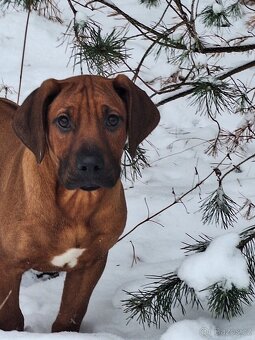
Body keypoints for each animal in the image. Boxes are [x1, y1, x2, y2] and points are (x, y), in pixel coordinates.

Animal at [0, 74, 159, 332]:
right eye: (63, 121)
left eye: (112, 119)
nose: (90, 165)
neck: (75, 205)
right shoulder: (8, 266)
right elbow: (11, 317)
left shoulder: (91, 262)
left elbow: (70, 315)